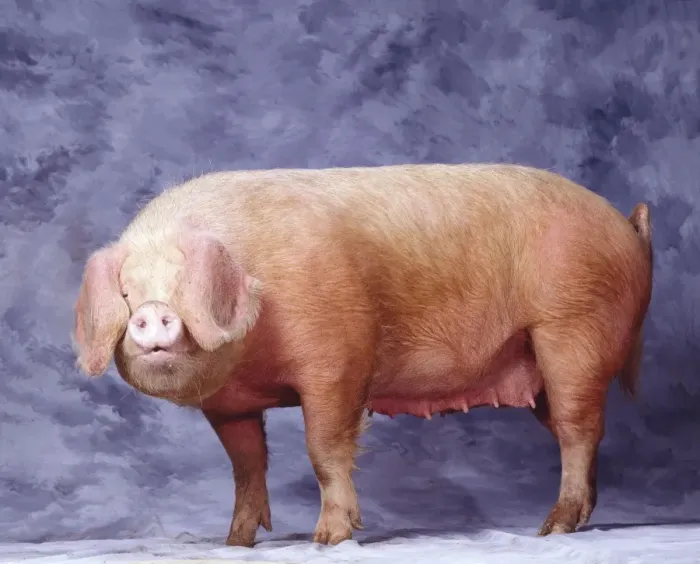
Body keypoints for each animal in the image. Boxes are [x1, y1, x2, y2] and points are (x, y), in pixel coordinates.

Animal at [72, 163, 653, 547]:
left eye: (182, 284)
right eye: (127, 292)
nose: (153, 312)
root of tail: (627, 227)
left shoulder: (339, 356)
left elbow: (324, 448)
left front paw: (329, 538)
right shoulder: (229, 403)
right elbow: (246, 465)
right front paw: (235, 542)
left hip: (573, 331)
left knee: (579, 431)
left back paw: (552, 528)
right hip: (540, 369)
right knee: (582, 432)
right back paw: (579, 520)